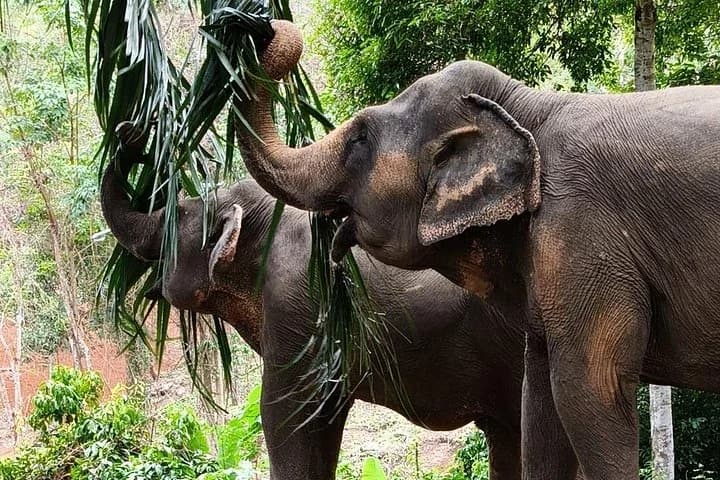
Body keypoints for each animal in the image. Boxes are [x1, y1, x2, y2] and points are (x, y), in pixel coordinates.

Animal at [233, 20, 720, 479]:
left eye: (361, 139)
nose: (260, 27)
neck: (527, 106)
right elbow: (539, 398)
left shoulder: (583, 233)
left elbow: (592, 390)